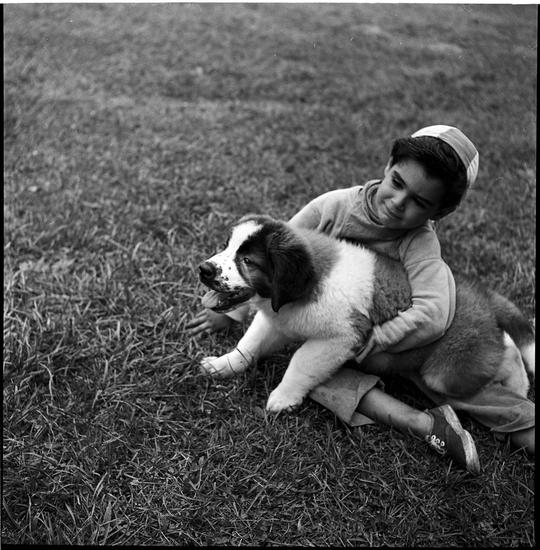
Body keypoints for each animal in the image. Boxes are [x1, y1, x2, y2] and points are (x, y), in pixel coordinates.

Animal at [197, 214, 535, 413]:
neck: (306, 288)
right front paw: (223, 365)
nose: (204, 269)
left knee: (505, 351)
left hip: (446, 373)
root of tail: (481, 294)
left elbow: (300, 363)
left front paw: (283, 397)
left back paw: (519, 386)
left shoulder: (340, 339)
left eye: (248, 261)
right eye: (227, 246)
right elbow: (249, 345)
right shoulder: (277, 320)